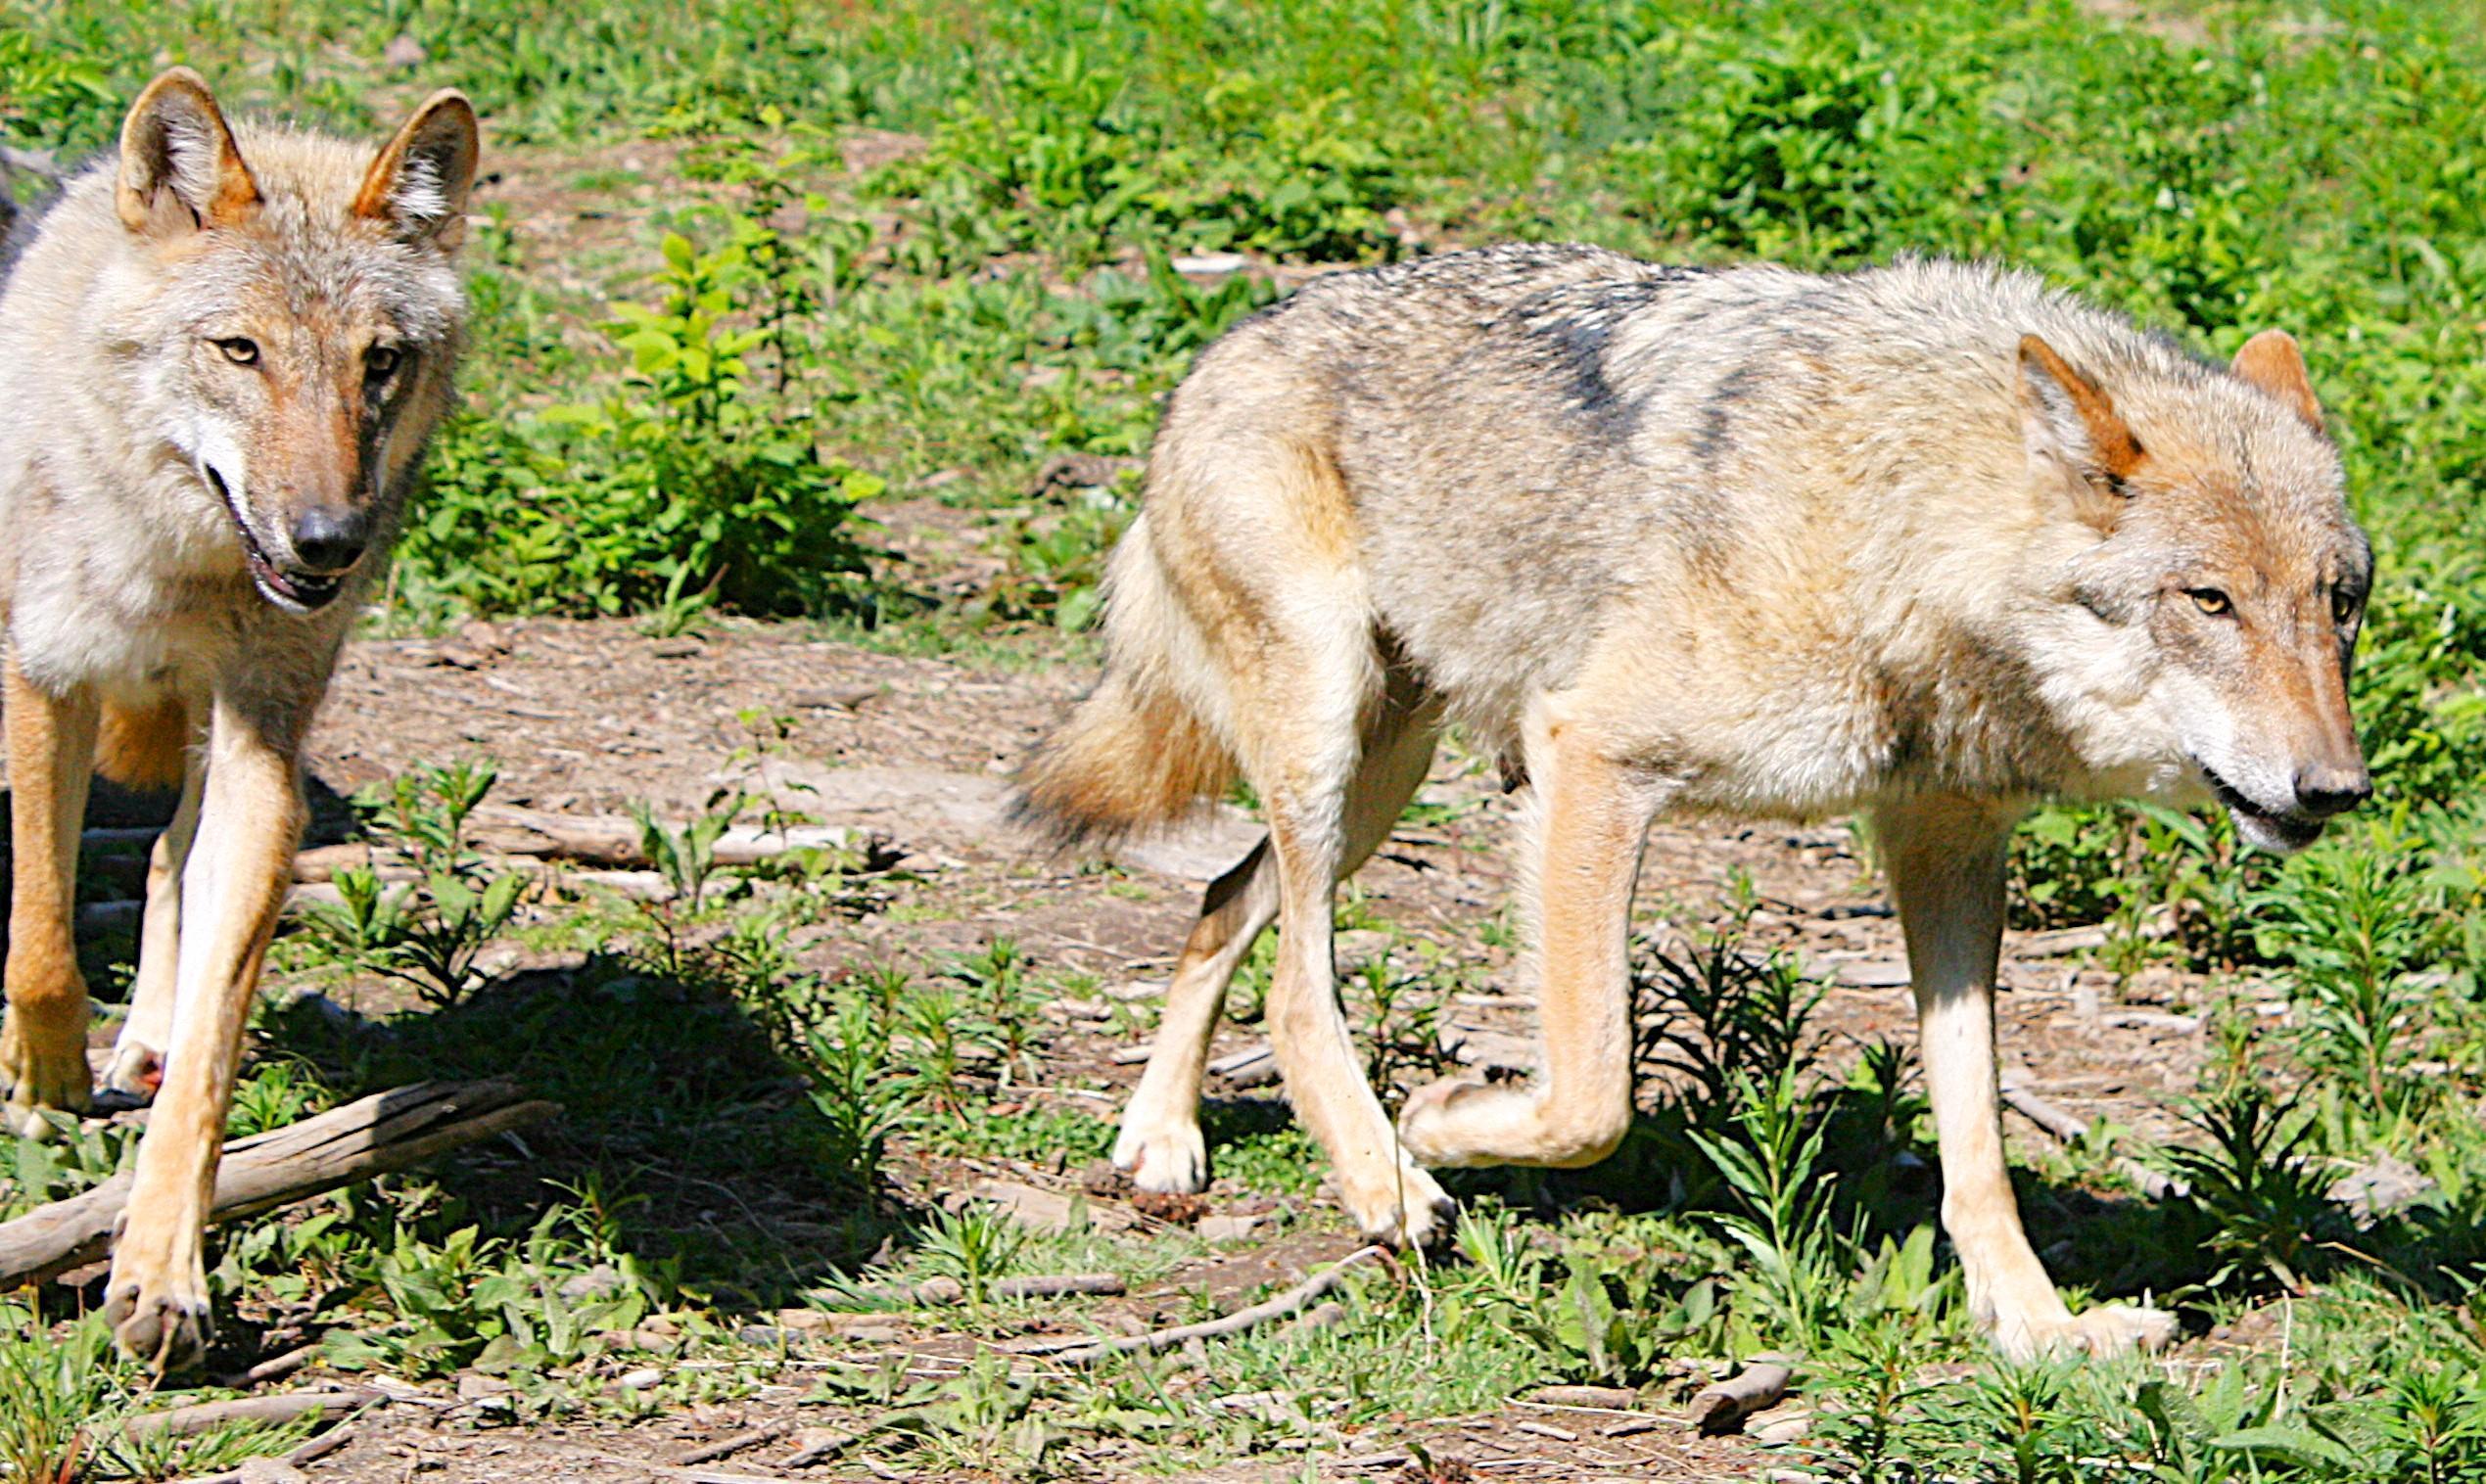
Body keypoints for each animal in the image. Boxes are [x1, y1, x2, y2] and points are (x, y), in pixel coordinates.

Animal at [0, 70, 480, 1362]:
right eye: (240, 350)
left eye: (379, 363)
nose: (328, 543)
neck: (179, 559)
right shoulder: (44, 671)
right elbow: (42, 935)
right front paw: (42, 1077)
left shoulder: (266, 735)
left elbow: (215, 1044)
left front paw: (161, 1274)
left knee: (172, 855)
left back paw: (149, 1036)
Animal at [1018, 240, 2376, 1352]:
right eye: (2209, 602)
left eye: (2340, 603)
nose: (2338, 788)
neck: (1892, 522)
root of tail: (1236, 333)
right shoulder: (1588, 760)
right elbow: (1591, 1098)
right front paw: (1448, 1119)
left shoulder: (1944, 845)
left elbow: (1977, 1136)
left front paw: (2040, 1328)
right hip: (1326, 733)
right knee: (1298, 985)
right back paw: (1383, 1179)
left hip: (1374, 782)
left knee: (1220, 897)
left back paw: (1162, 1138)